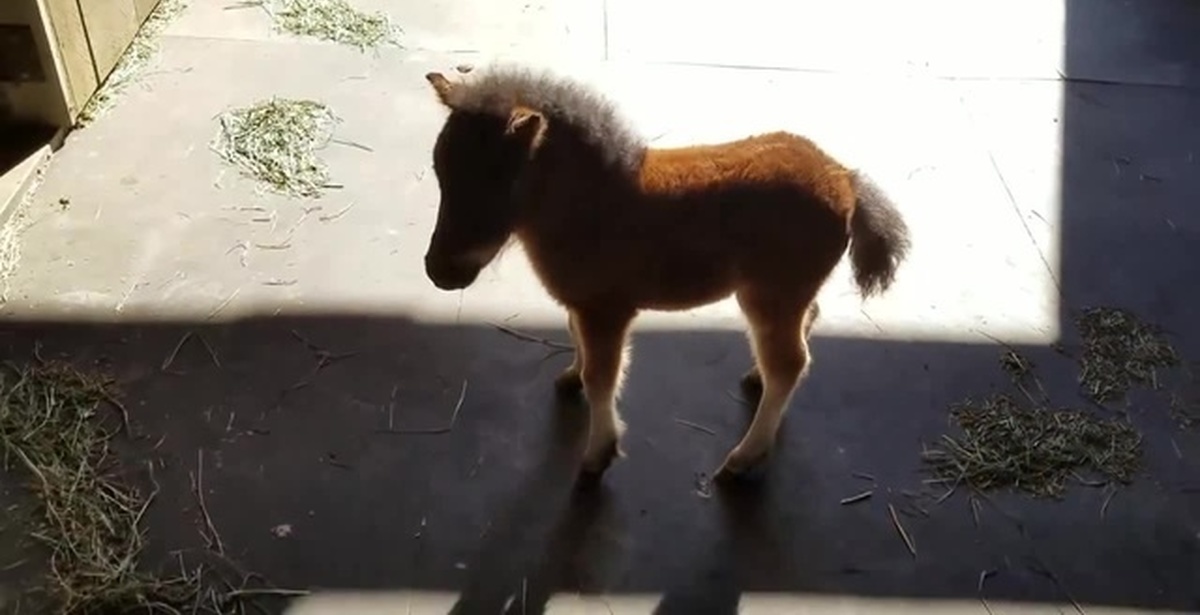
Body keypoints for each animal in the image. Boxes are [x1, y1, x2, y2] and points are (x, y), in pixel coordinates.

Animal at [421, 66, 911, 482]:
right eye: (439, 171)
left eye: (499, 182)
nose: (439, 271)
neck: (592, 204)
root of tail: (844, 176)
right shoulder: (583, 305)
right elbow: (577, 342)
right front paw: (571, 377)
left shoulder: (607, 311)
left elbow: (603, 377)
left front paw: (597, 455)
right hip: (786, 293)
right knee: (803, 331)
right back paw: (756, 380)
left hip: (770, 295)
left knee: (789, 362)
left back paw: (742, 460)